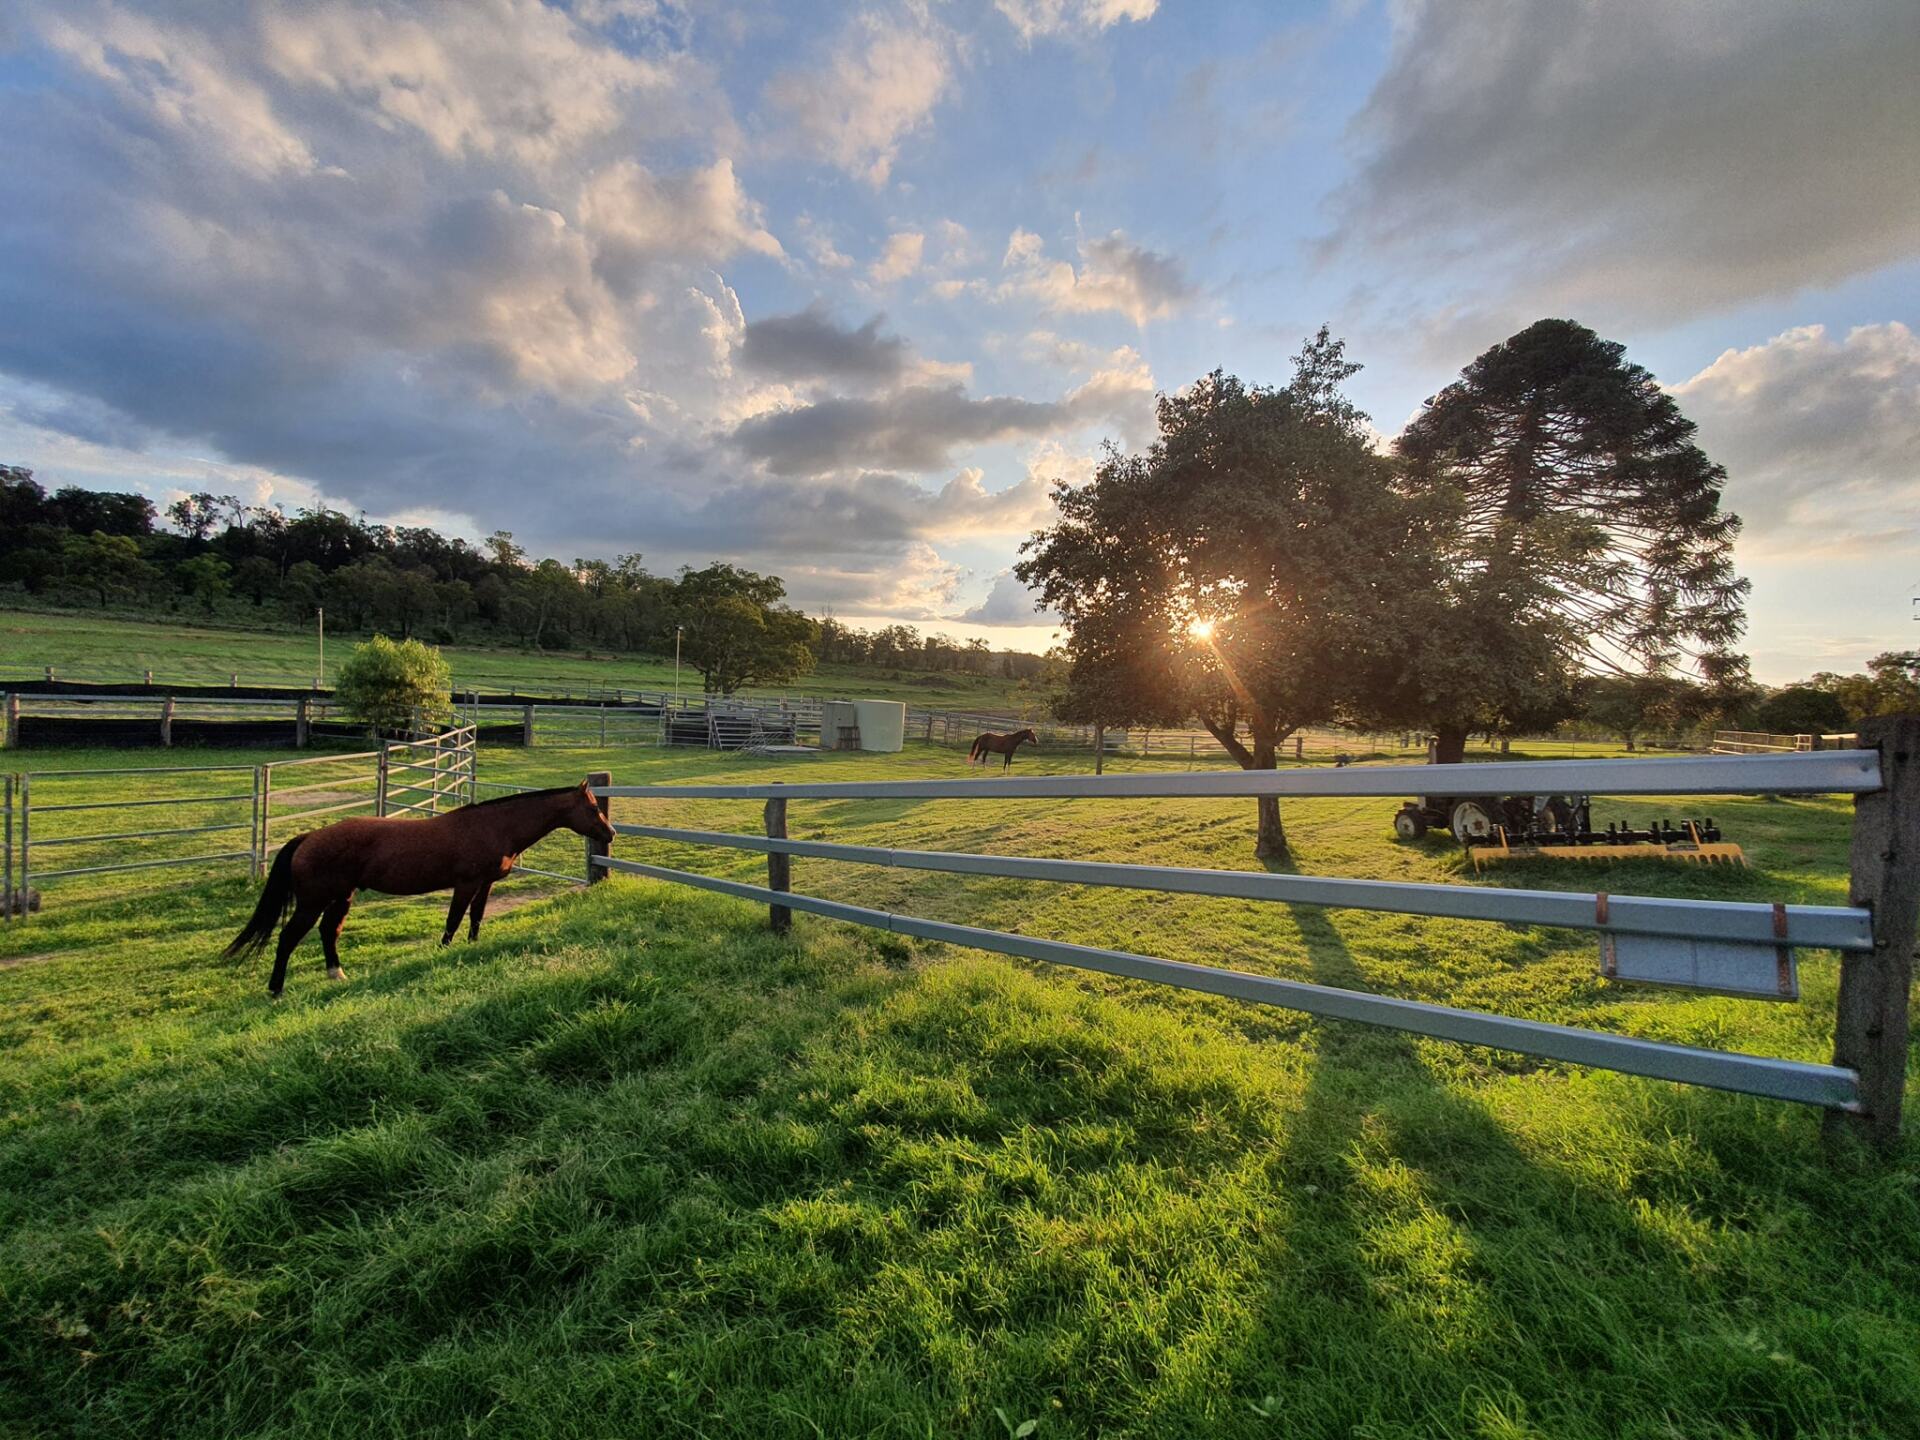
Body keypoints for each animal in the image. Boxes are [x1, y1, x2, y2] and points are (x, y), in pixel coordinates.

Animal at [225, 780, 616, 997]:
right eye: (592, 808)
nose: (611, 833)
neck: (494, 826)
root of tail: (308, 837)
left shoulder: (485, 884)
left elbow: (476, 919)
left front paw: (473, 948)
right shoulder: (466, 884)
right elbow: (453, 921)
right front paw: (442, 954)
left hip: (341, 896)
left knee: (328, 932)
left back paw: (336, 973)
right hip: (313, 902)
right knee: (289, 938)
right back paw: (276, 989)